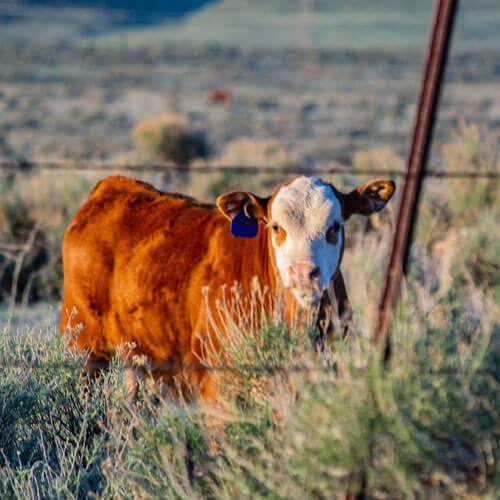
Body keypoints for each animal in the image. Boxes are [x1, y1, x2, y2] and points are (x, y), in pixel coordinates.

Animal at [60, 175, 395, 401]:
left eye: (334, 227)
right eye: (276, 227)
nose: (303, 273)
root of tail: (111, 187)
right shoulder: (218, 384)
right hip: (85, 347)